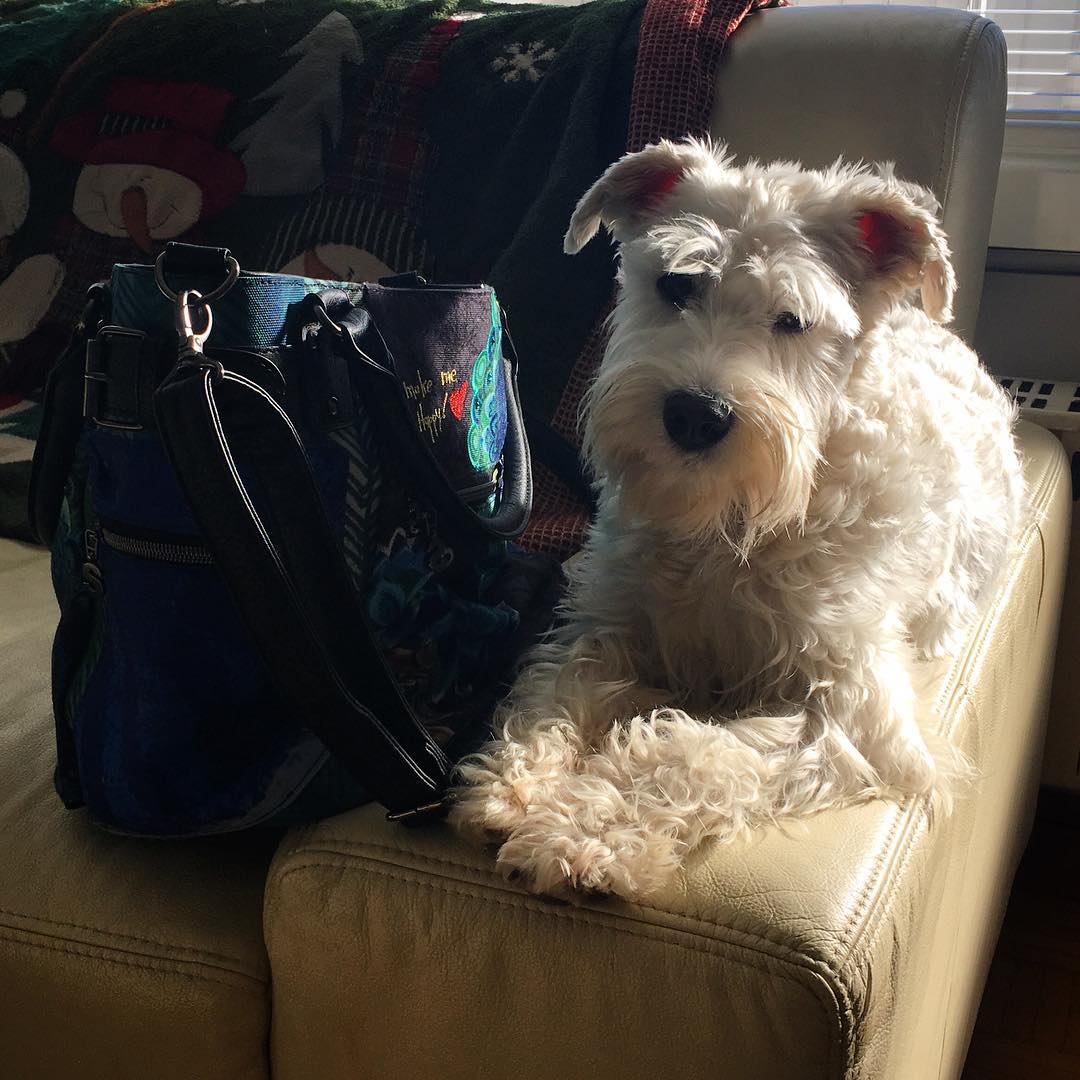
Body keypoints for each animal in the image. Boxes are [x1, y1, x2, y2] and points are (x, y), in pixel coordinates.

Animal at [451, 139, 1023, 898]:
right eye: (676, 284)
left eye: (794, 320)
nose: (696, 415)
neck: (730, 527)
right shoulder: (606, 624)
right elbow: (554, 691)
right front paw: (514, 786)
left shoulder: (854, 718)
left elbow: (691, 753)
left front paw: (582, 834)